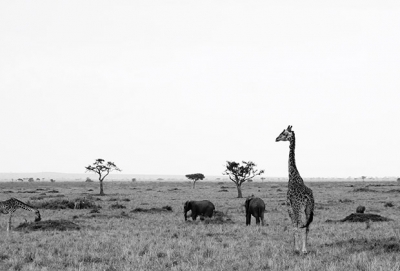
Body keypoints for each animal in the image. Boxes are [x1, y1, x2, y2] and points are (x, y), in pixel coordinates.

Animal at [276, 125, 314, 255]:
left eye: (283, 133)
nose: (276, 138)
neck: (292, 176)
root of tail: (307, 197)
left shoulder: (289, 206)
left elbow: (294, 226)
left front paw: (295, 248)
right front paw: (298, 248)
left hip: (298, 209)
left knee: (300, 225)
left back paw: (301, 250)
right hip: (309, 210)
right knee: (307, 227)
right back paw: (305, 250)